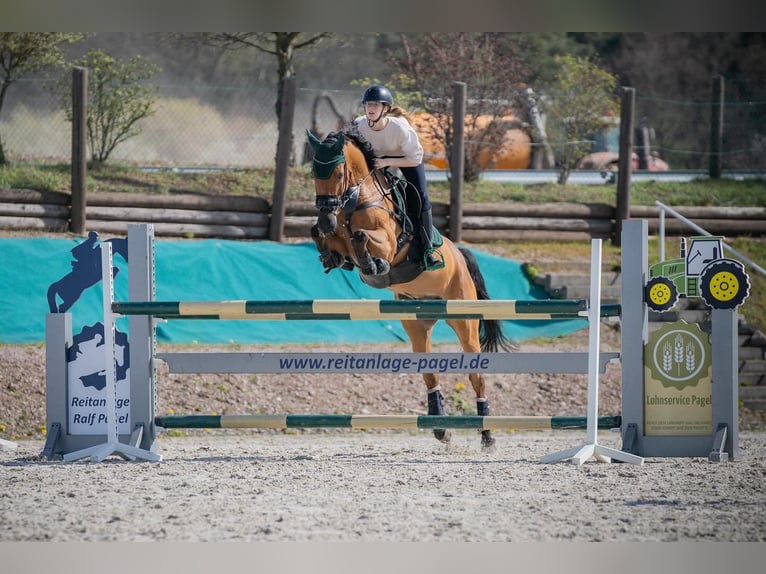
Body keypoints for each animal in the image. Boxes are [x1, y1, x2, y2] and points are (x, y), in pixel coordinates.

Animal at [307, 125, 515, 450]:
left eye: (339, 173)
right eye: (315, 172)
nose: (326, 218)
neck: (356, 200)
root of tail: (460, 254)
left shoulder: (390, 244)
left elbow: (362, 238)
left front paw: (372, 264)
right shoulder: (336, 235)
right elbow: (327, 239)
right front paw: (329, 249)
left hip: (464, 321)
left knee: (476, 376)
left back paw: (487, 436)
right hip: (416, 323)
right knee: (429, 372)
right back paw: (441, 429)